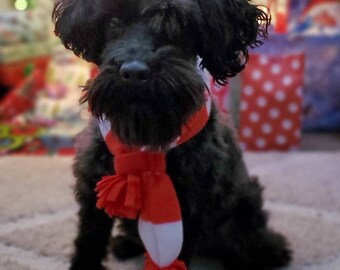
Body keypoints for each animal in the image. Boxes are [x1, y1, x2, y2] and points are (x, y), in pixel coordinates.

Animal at [53, 0, 292, 270]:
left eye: (176, 22)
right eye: (112, 22)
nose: (134, 73)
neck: (145, 139)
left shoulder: (189, 205)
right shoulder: (92, 185)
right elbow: (89, 240)